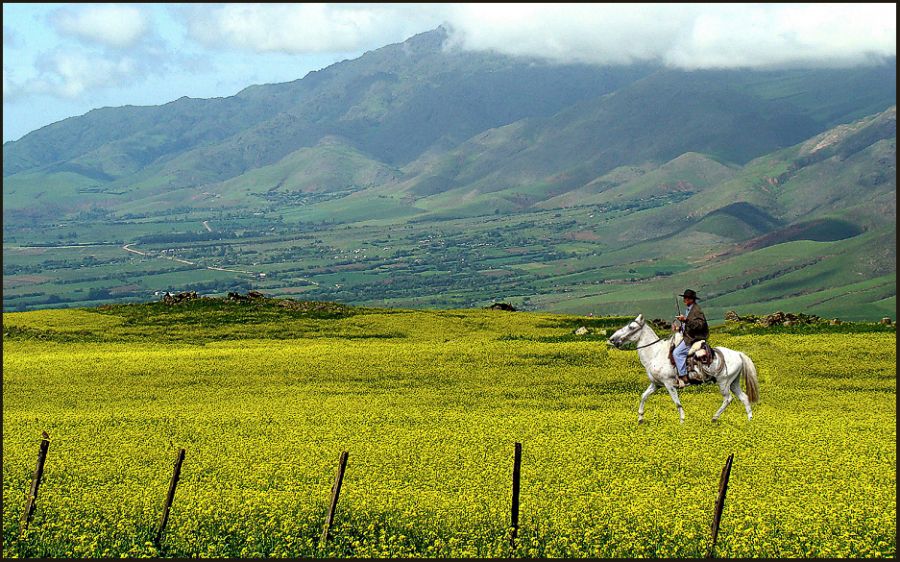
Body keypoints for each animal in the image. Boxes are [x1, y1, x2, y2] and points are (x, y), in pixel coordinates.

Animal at [604, 312, 760, 422]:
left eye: (631, 327)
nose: (612, 339)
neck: (655, 353)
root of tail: (738, 353)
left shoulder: (669, 384)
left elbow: (677, 403)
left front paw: (682, 421)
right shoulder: (656, 384)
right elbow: (643, 396)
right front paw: (640, 418)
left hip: (724, 382)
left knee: (728, 399)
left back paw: (714, 418)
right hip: (734, 382)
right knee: (744, 398)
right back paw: (749, 420)